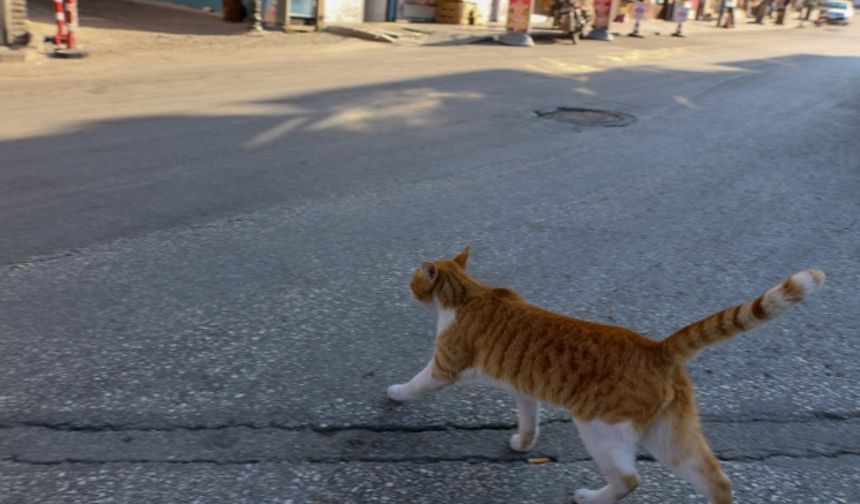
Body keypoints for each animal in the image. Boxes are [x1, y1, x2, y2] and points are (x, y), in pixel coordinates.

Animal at [386, 248, 824, 504]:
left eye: (413, 279)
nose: (406, 286)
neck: (467, 293)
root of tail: (656, 347)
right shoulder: (524, 388)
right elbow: (528, 418)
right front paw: (523, 442)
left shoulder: (444, 366)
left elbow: (417, 384)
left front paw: (395, 393)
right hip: (670, 436)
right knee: (717, 481)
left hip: (600, 430)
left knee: (629, 480)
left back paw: (590, 497)